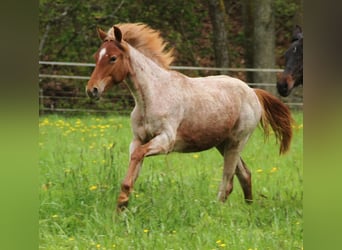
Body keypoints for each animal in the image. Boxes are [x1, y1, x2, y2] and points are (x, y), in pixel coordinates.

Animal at [86, 23, 294, 211]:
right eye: (96, 57)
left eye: (113, 58)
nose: (92, 90)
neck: (152, 96)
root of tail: (252, 92)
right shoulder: (138, 139)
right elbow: (134, 165)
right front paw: (122, 206)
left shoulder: (165, 141)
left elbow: (138, 155)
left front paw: (122, 202)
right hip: (222, 143)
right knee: (244, 174)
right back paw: (249, 209)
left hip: (236, 142)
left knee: (228, 180)